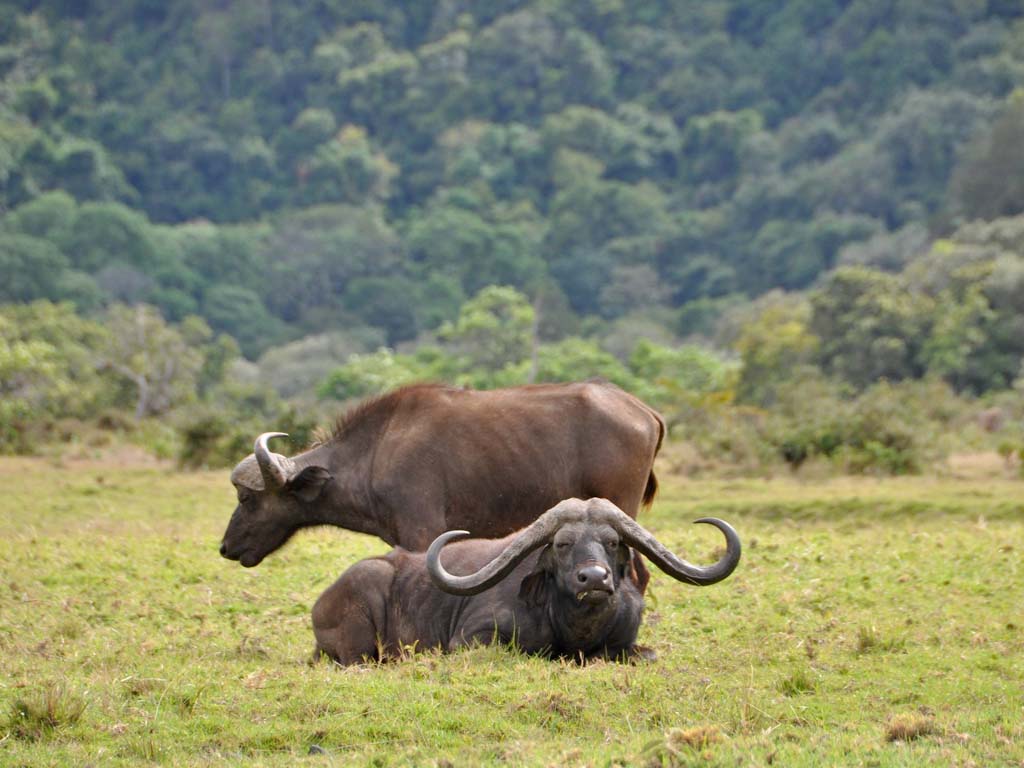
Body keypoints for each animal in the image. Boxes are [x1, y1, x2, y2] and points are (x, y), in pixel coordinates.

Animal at [307, 495, 741, 663]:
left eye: (612, 541)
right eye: (562, 543)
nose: (593, 579)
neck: (574, 630)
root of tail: (320, 605)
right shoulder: (471, 639)